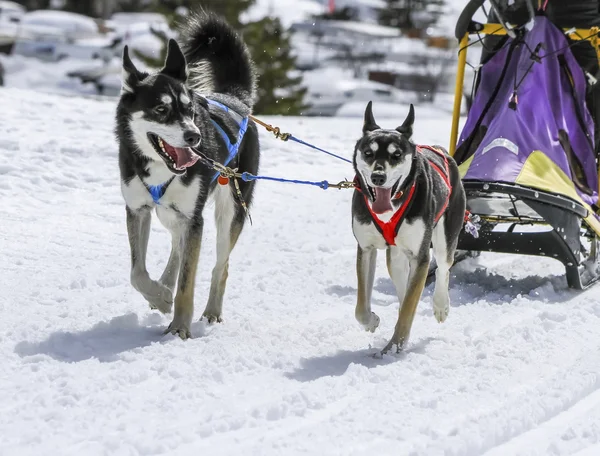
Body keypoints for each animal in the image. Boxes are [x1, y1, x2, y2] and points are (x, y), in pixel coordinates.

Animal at [115, 11, 260, 338]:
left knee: (220, 266)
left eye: (189, 108)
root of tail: (236, 100)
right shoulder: (138, 210)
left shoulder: (195, 219)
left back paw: (212, 311)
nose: (195, 137)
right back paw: (165, 285)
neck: (159, 168)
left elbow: (187, 283)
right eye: (160, 109)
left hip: (229, 210)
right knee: (177, 250)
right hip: (170, 214)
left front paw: (179, 327)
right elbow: (136, 273)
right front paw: (160, 296)